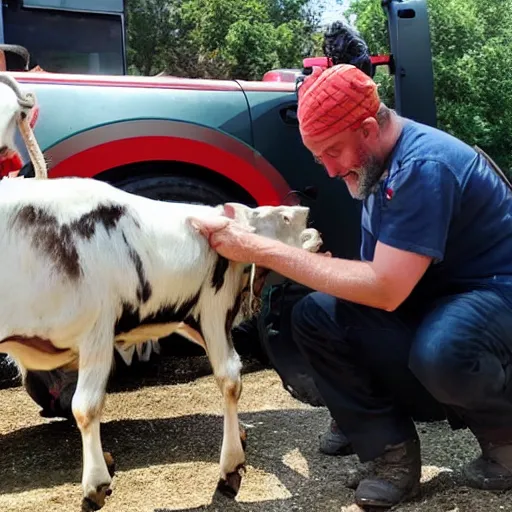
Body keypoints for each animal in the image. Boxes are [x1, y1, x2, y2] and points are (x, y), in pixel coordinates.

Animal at [0, 175, 322, 508]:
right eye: (285, 219)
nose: (309, 220)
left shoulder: (99, 329)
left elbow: (85, 406)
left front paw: (95, 485)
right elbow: (81, 405)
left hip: (208, 309)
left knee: (229, 377)